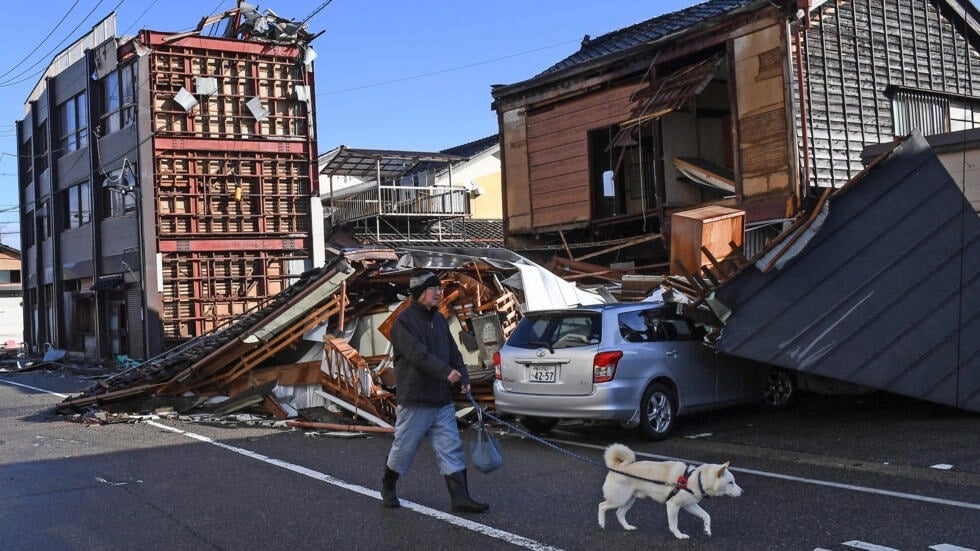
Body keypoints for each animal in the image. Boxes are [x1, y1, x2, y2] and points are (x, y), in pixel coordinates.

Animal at [596, 444, 744, 540]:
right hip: (619, 499)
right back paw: (601, 524)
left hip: (629, 500)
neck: (697, 478)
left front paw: (707, 530)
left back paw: (627, 527)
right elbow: (674, 525)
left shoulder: (690, 505)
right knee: (602, 506)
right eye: (731, 482)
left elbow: (706, 516)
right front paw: (679, 535)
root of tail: (616, 467)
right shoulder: (673, 505)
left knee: (619, 513)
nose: (742, 492)